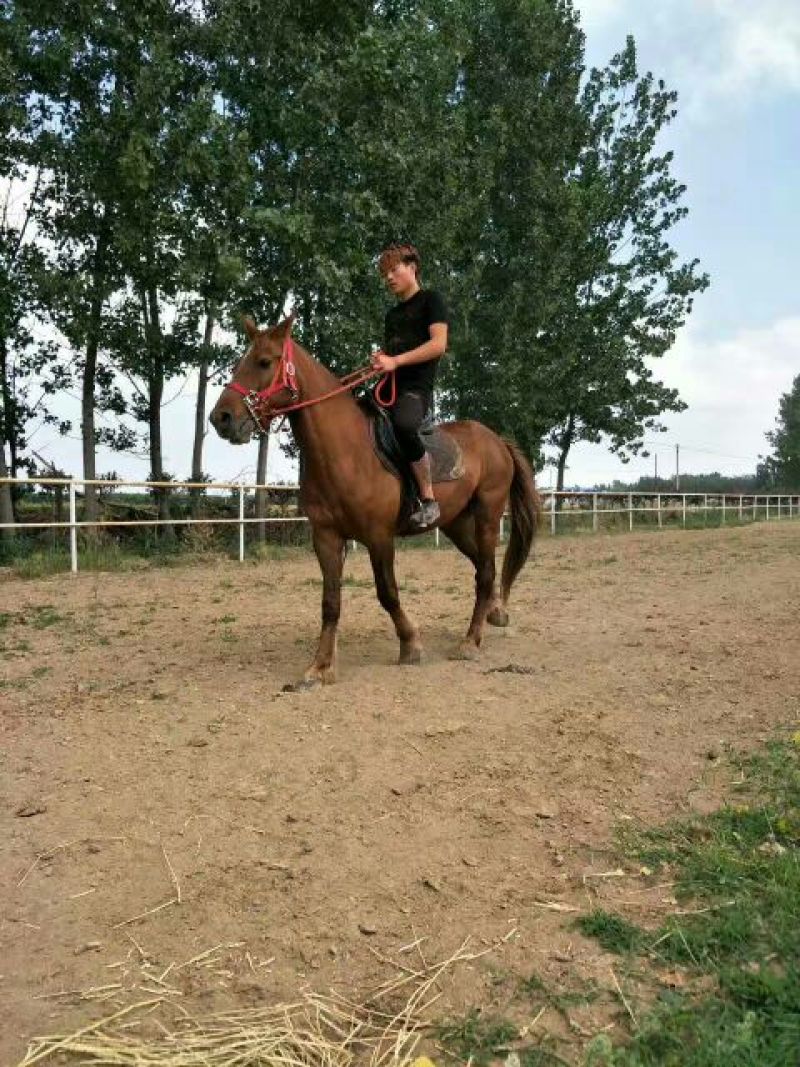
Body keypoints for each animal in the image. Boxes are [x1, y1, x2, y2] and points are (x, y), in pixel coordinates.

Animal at [210, 315, 541, 689]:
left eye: (265, 361)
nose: (221, 418)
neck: (346, 452)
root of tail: (497, 441)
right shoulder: (326, 537)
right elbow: (330, 601)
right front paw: (320, 667)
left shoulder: (379, 537)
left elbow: (387, 593)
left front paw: (410, 644)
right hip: (455, 524)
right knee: (483, 568)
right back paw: (495, 614)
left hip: (487, 515)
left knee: (485, 572)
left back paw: (470, 641)